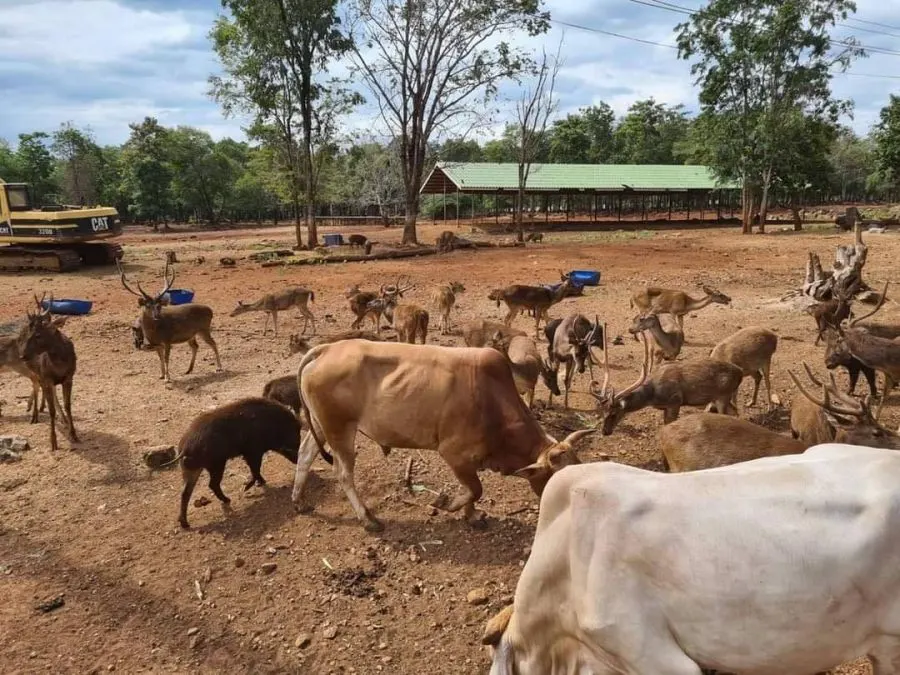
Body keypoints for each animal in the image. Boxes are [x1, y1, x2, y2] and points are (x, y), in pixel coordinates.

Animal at [16, 296, 78, 451]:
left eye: (38, 335)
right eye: (28, 335)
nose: (22, 356)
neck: (59, 365)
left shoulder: (69, 377)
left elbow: (68, 406)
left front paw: (73, 434)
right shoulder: (47, 377)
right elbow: (51, 410)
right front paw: (53, 442)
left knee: (45, 390)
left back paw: (58, 417)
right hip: (35, 372)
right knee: (36, 386)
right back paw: (34, 415)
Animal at [172, 397, 332, 529]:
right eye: (294, 433)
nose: (296, 456)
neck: (272, 424)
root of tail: (184, 447)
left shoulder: (252, 453)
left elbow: (255, 470)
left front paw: (259, 483)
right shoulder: (253, 452)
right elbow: (255, 469)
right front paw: (249, 486)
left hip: (192, 470)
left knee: (185, 493)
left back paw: (185, 524)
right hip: (216, 464)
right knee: (211, 484)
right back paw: (227, 500)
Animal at [290, 339, 595, 531]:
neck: (493, 403)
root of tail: (327, 348)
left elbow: (474, 491)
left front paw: (472, 516)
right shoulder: (453, 453)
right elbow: (475, 489)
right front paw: (447, 504)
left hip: (321, 424)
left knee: (304, 454)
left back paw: (299, 500)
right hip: (340, 428)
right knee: (344, 473)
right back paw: (367, 518)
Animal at [592, 336, 742, 435]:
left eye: (613, 413)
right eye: (600, 411)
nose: (605, 432)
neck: (653, 396)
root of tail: (740, 372)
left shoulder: (675, 401)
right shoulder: (666, 407)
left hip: (723, 395)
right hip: (722, 396)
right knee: (735, 411)